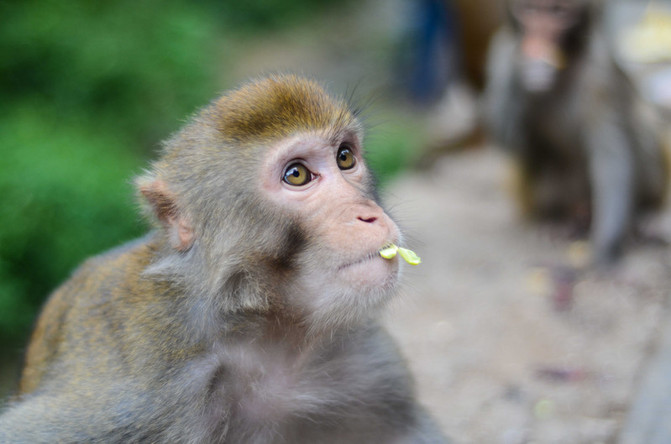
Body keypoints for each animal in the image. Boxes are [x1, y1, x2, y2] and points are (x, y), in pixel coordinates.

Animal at [1, 74, 452, 442]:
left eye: (345, 157)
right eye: (297, 175)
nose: (368, 214)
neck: (266, 331)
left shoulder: (370, 367)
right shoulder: (146, 394)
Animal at [486, 0, 668, 264]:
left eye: (558, 12)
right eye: (529, 9)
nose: (538, 38)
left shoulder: (600, 72)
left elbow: (611, 155)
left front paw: (606, 246)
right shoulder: (498, 53)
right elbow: (512, 142)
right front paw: (525, 68)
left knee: (641, 122)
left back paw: (645, 213)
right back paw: (556, 220)